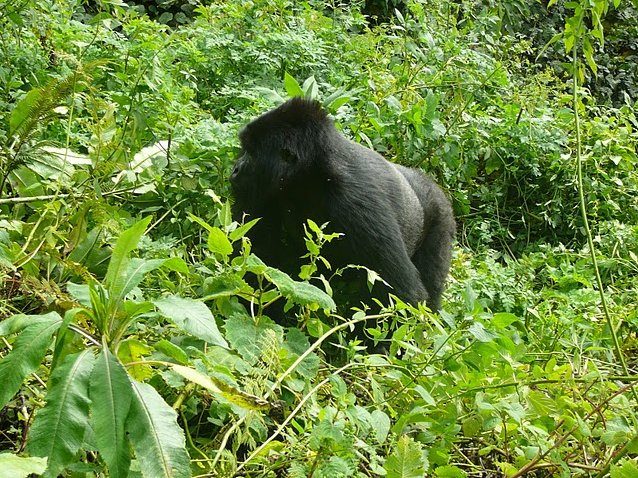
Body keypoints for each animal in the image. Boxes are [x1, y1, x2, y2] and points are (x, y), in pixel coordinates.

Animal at [232, 99, 458, 312]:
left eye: (251, 153)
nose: (235, 169)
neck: (311, 173)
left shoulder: (356, 202)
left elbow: (399, 293)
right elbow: (257, 258)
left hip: (442, 217)